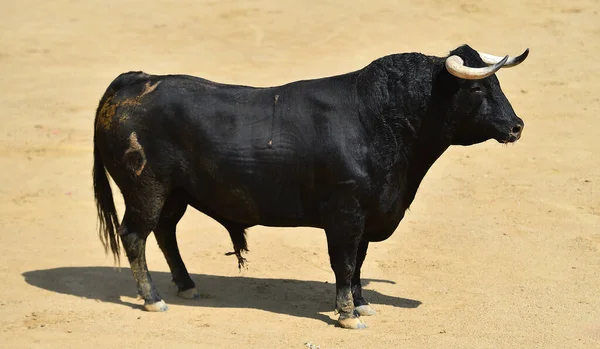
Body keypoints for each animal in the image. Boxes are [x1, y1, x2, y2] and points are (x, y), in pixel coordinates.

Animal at [91, 43, 528, 326]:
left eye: (499, 86)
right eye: (477, 87)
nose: (516, 127)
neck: (381, 119)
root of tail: (133, 81)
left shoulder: (368, 217)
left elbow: (359, 263)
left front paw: (362, 304)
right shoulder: (346, 216)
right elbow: (345, 262)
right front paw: (347, 315)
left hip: (174, 194)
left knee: (165, 231)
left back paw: (185, 286)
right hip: (145, 189)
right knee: (135, 236)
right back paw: (153, 299)